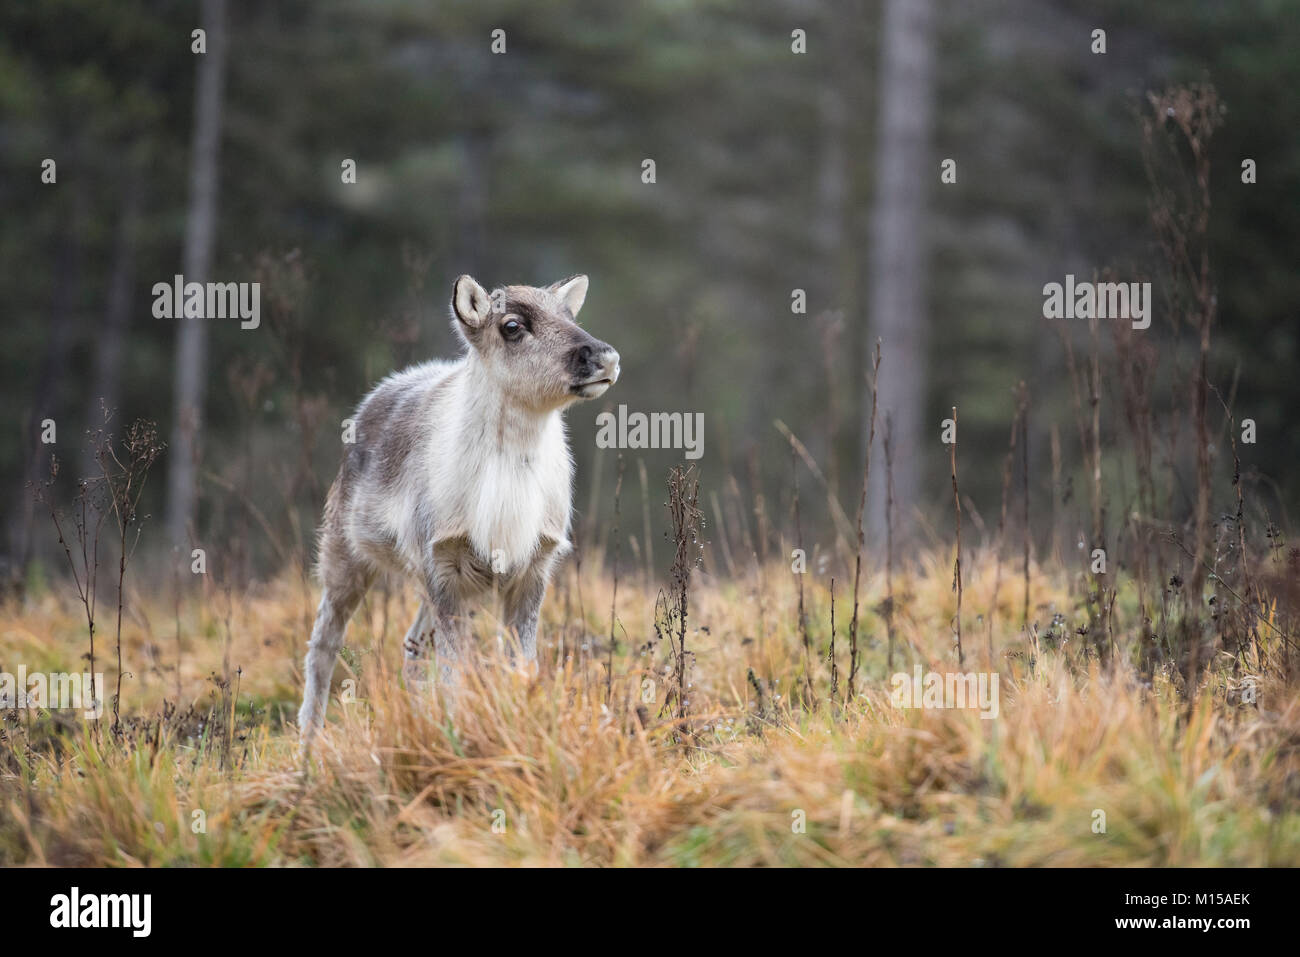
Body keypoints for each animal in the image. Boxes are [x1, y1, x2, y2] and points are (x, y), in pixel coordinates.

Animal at [297, 273, 618, 743]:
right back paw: (308, 744)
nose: (604, 357)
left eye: (569, 315)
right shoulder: (445, 566)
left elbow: (521, 665)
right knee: (323, 642)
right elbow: (456, 672)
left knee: (412, 645)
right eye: (511, 326)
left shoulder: (533, 567)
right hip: (344, 553)